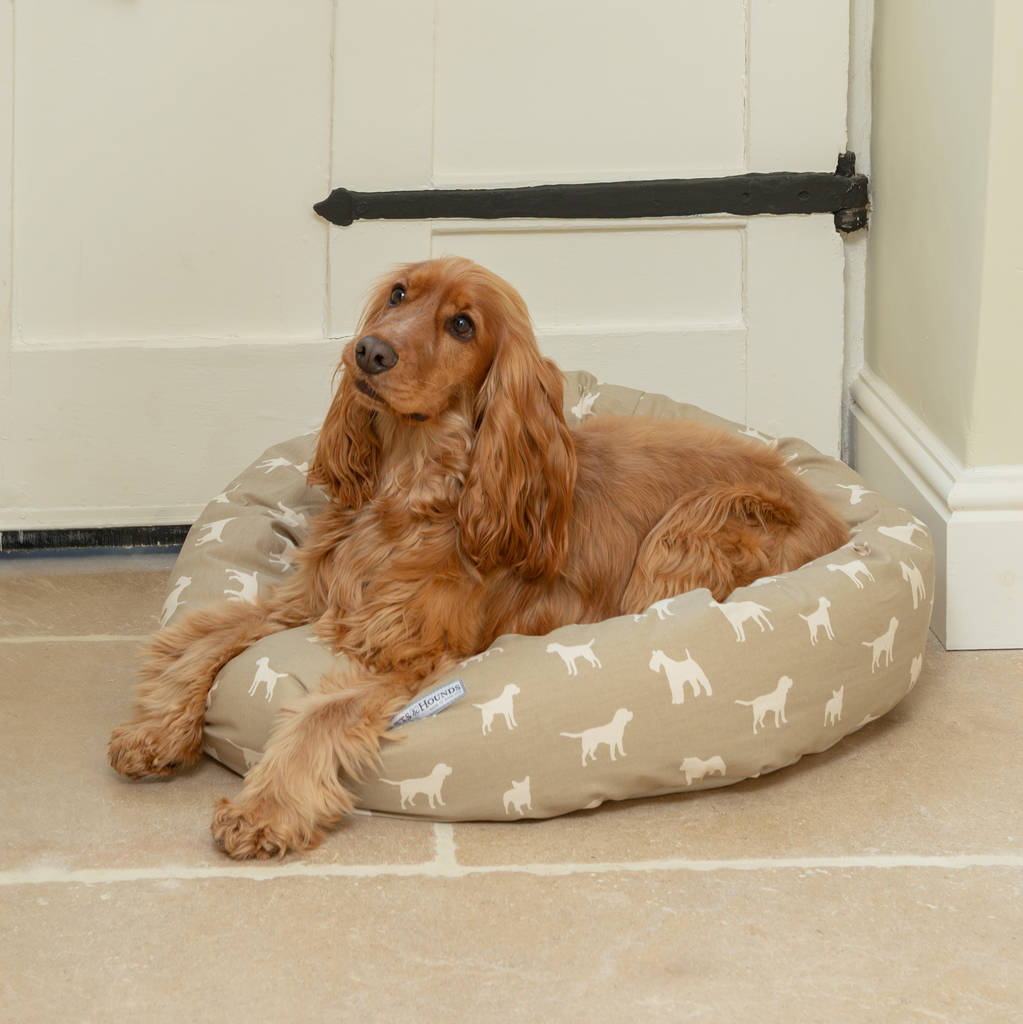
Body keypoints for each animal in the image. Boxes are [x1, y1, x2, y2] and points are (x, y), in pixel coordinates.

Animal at [108, 253, 851, 856]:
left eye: (463, 325)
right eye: (398, 295)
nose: (368, 352)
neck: (409, 492)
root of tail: (834, 520)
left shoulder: (408, 653)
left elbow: (320, 712)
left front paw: (264, 809)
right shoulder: (312, 597)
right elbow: (205, 637)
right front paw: (156, 731)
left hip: (695, 524)